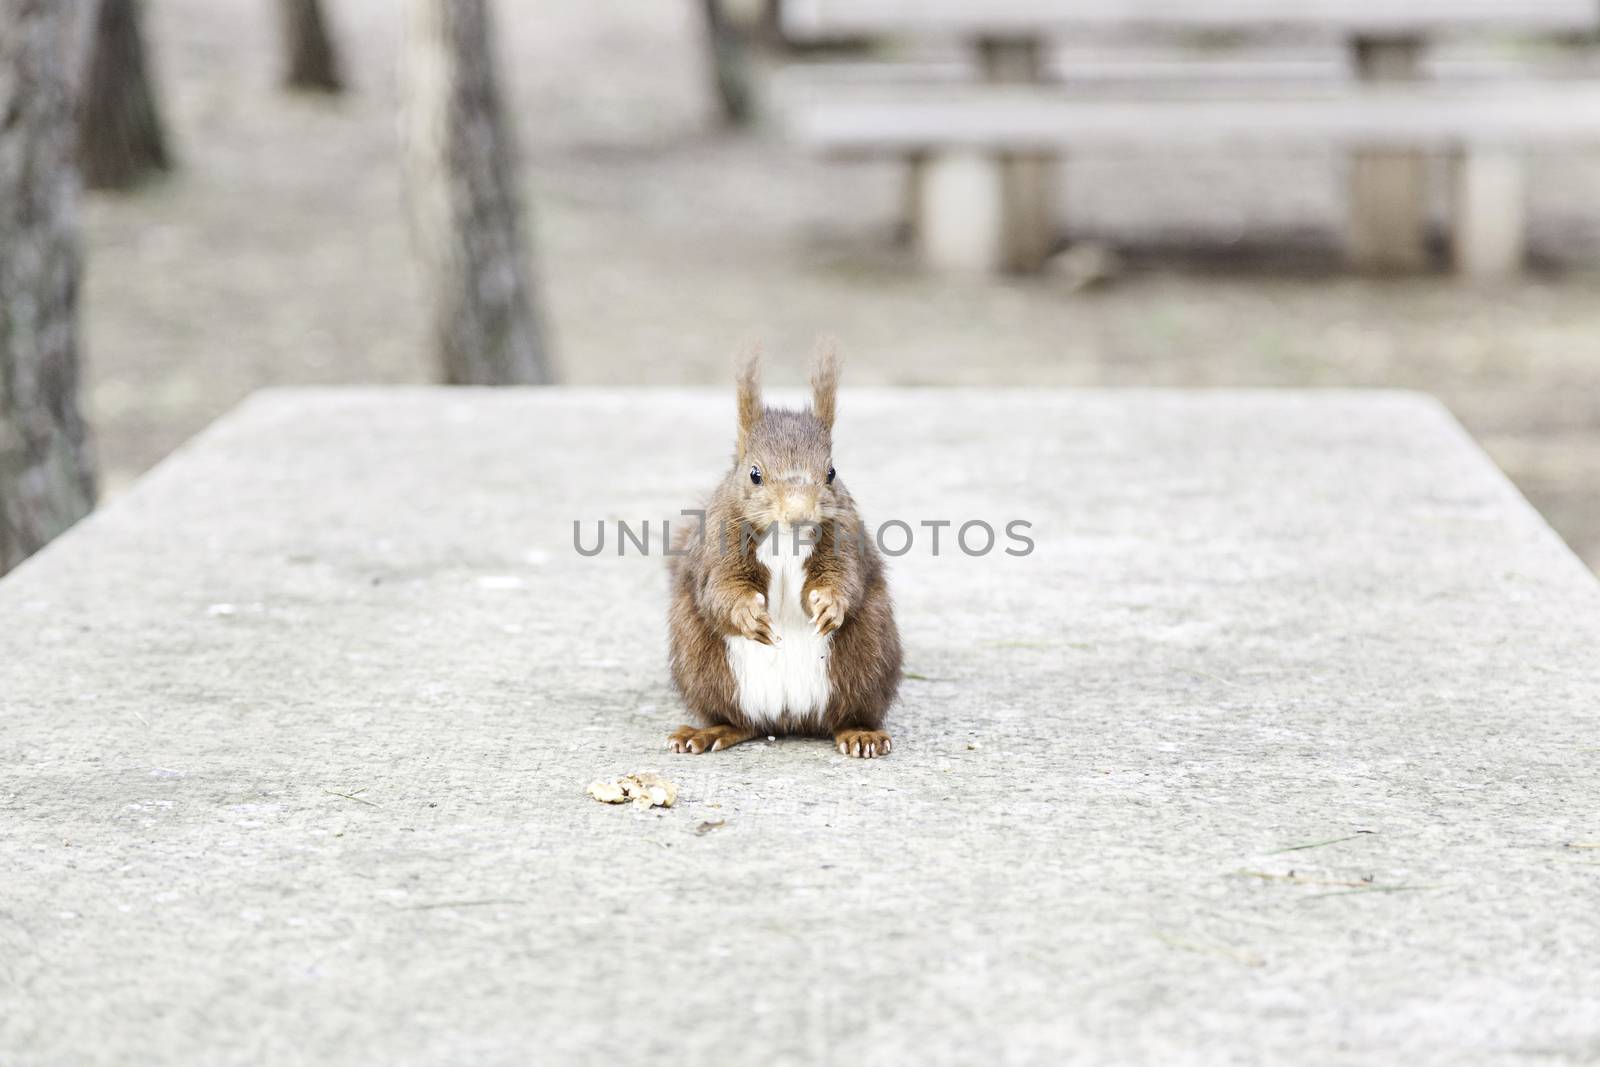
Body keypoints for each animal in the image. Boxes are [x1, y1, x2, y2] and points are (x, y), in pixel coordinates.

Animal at [665, 342, 902, 758]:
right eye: (754, 474)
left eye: (831, 472)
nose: (798, 514)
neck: (785, 537)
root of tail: (789, 719)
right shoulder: (717, 545)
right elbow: (720, 591)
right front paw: (748, 614)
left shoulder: (845, 537)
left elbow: (844, 579)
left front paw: (830, 605)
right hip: (702, 668)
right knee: (740, 721)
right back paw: (707, 732)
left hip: (868, 660)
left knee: (844, 716)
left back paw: (860, 733)